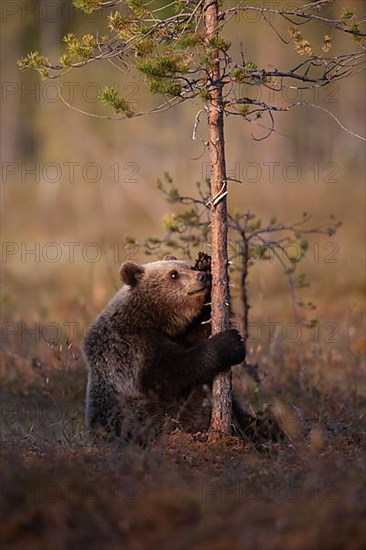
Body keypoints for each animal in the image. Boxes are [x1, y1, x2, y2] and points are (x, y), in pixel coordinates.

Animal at [81, 258, 244, 444]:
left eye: (189, 266)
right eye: (173, 274)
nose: (203, 277)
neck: (149, 319)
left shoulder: (178, 335)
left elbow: (201, 331)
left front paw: (206, 263)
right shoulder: (130, 350)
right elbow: (171, 373)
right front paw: (231, 342)